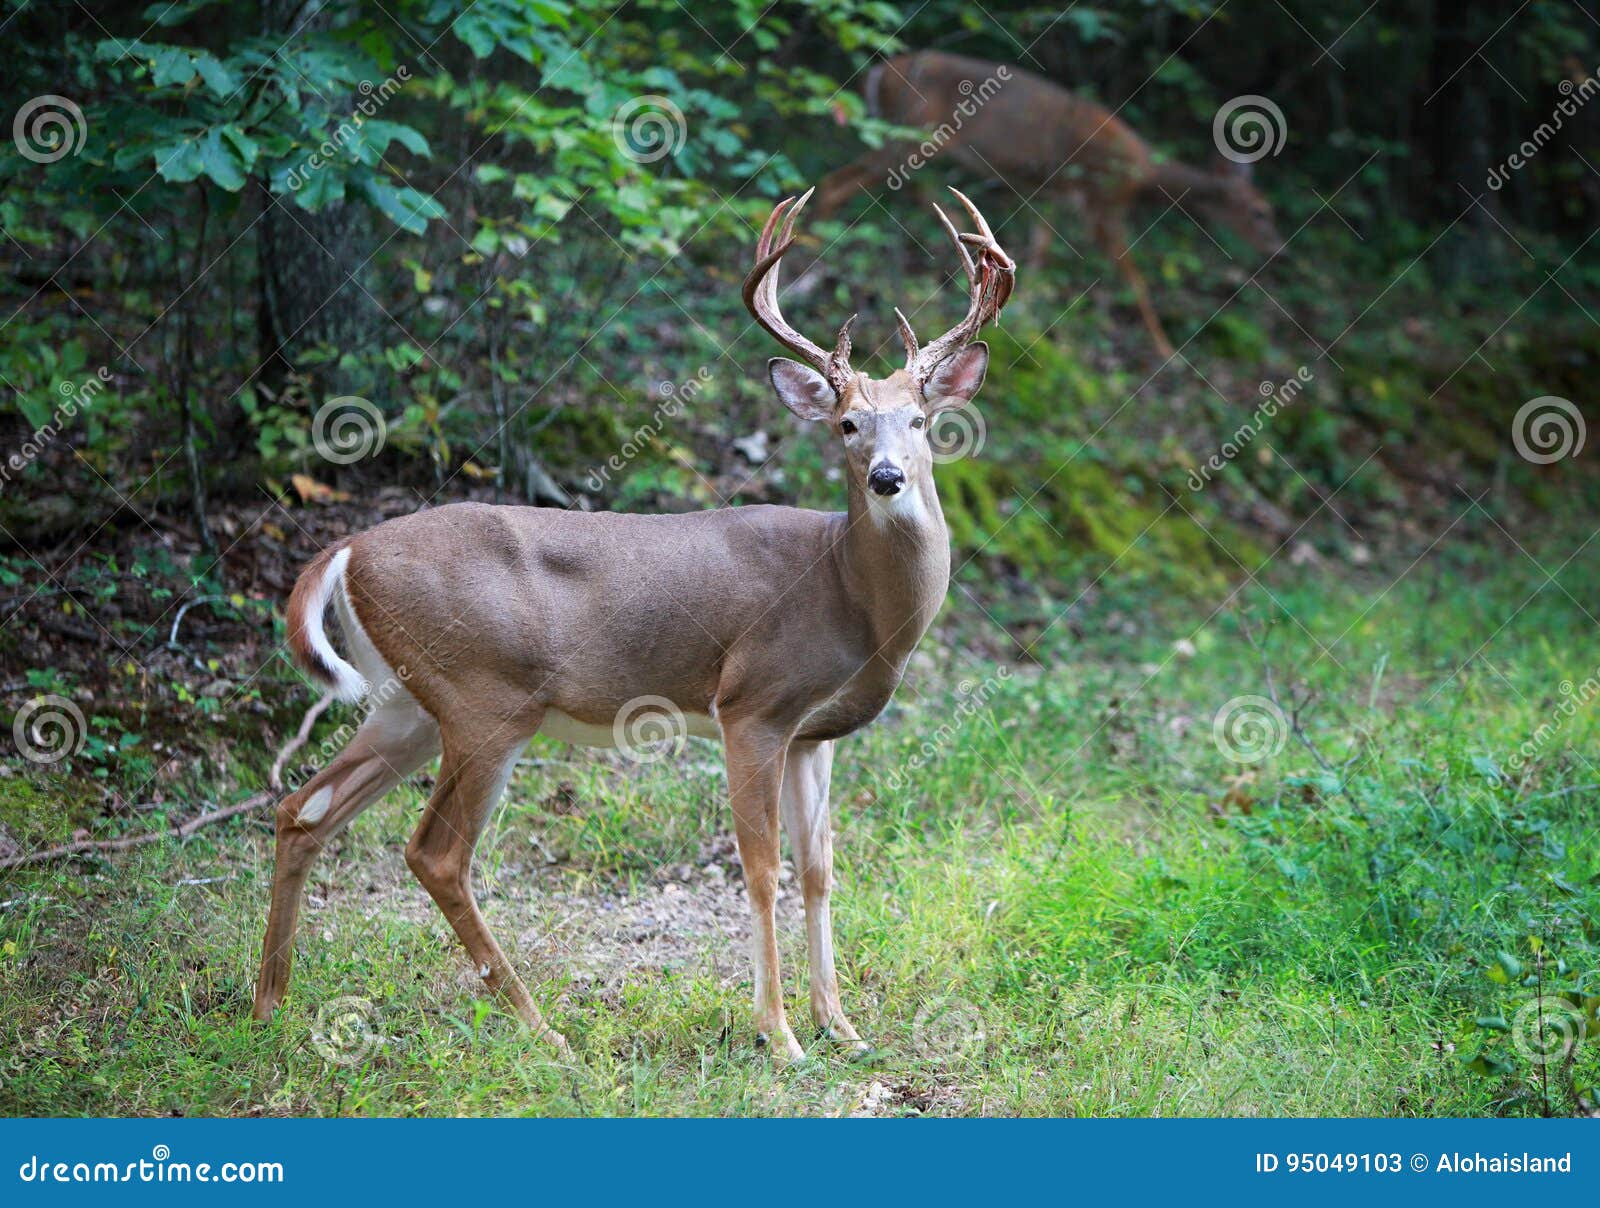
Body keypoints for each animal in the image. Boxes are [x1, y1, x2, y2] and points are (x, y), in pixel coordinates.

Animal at [250, 187, 1015, 1062]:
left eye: (919, 421)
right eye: (848, 424)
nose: (888, 477)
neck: (851, 595)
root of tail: (347, 549)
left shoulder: (815, 733)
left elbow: (821, 869)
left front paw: (842, 1026)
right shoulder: (751, 704)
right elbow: (762, 869)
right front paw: (779, 1034)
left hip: (407, 700)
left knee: (301, 811)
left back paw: (268, 1008)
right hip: (485, 697)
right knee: (436, 854)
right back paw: (543, 1029)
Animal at [815, 50, 1282, 359]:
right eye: (1260, 211)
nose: (1278, 248)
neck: (1145, 174)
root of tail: (878, 73)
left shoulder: (1048, 192)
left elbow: (1038, 253)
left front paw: (1028, 316)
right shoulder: (1102, 204)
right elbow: (1134, 277)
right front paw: (1167, 350)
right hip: (909, 135)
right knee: (834, 184)